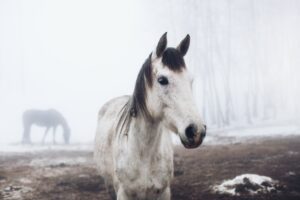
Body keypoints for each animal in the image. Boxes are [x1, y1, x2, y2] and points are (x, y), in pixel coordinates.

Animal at [95, 33, 207, 200]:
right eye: (162, 80)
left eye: (190, 80)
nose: (196, 130)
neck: (144, 155)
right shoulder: (123, 193)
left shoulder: (163, 192)